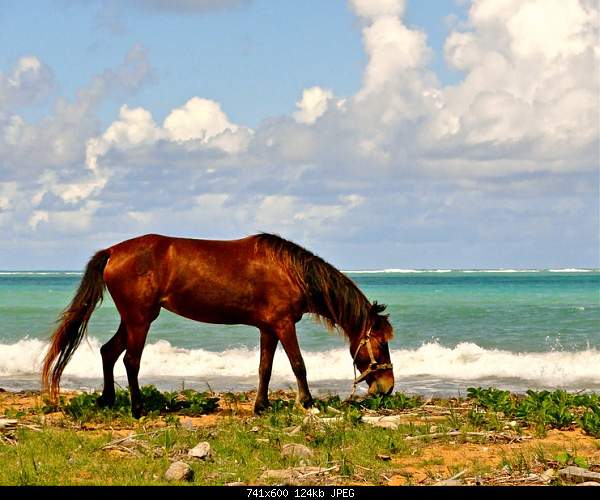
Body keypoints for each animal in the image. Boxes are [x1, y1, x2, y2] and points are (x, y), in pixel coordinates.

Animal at [44, 234, 396, 418]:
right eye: (381, 343)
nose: (388, 387)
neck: (290, 271)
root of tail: (113, 251)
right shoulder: (284, 325)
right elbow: (298, 364)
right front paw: (307, 403)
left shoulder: (268, 328)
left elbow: (265, 368)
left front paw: (261, 406)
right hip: (140, 319)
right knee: (131, 360)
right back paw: (138, 407)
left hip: (133, 318)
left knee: (108, 352)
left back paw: (107, 400)